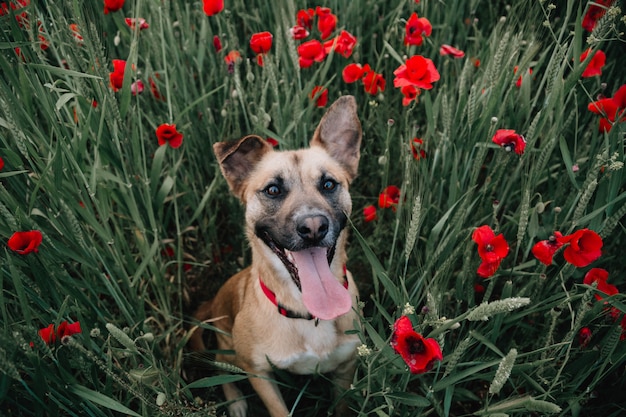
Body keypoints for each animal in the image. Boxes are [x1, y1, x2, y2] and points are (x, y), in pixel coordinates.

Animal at [186, 95, 360, 416]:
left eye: (329, 184)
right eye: (273, 189)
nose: (313, 227)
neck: (307, 313)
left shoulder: (346, 368)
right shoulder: (259, 373)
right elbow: (278, 409)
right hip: (229, 349)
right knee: (222, 370)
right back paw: (236, 403)